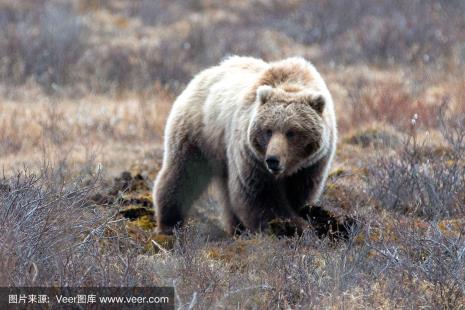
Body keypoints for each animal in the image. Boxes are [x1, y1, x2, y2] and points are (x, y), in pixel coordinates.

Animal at [153, 56, 338, 235]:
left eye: (292, 132)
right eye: (268, 130)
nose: (272, 159)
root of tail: (199, 76)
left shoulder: (312, 165)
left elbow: (300, 193)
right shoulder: (251, 157)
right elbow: (259, 195)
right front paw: (288, 225)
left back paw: (236, 228)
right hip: (198, 134)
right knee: (182, 175)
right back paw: (169, 224)